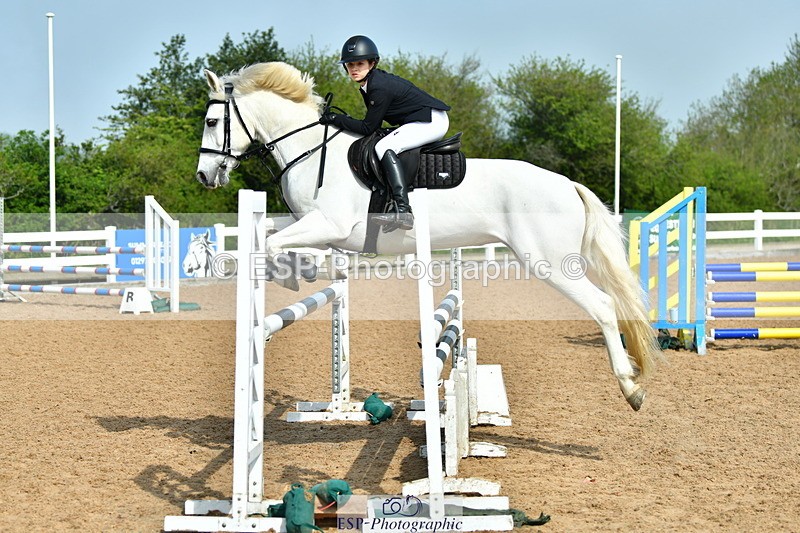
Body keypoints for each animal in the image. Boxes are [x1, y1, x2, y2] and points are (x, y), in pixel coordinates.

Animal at [194, 62, 662, 411]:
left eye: (213, 121)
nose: (204, 176)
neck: (309, 150)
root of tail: (567, 184)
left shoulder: (330, 225)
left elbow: (275, 246)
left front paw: (295, 275)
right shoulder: (313, 225)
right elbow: (269, 237)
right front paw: (294, 275)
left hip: (547, 261)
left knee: (603, 306)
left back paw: (631, 388)